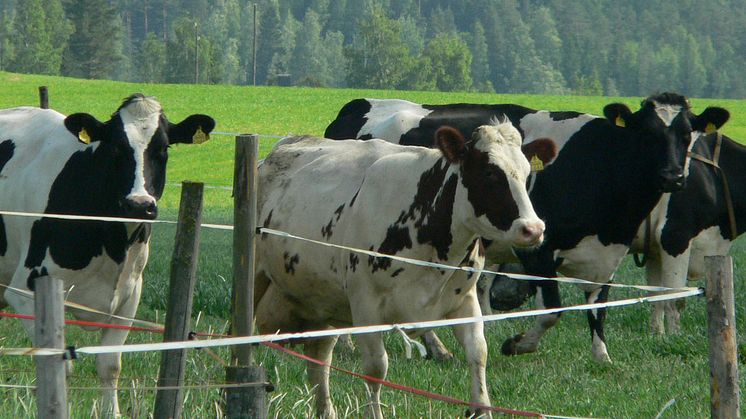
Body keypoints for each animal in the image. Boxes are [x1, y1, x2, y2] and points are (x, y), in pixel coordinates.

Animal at [0, 95, 215, 416]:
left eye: (163, 148)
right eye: (116, 148)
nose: (139, 205)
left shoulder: (129, 297)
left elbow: (110, 365)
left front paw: (111, 412)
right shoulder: (24, 291)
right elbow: (58, 365)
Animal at [254, 123, 552, 418]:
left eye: (527, 173)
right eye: (490, 173)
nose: (533, 229)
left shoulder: (464, 300)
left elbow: (478, 353)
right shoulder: (365, 305)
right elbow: (376, 369)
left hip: (322, 303)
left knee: (319, 361)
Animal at [326, 93, 728, 362]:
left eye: (688, 134)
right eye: (647, 133)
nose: (673, 176)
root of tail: (356, 104)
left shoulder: (609, 254)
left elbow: (598, 308)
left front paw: (602, 357)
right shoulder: (538, 249)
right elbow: (551, 311)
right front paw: (518, 344)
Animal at [628, 128, 740, 334]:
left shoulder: (654, 249)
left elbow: (656, 297)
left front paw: (658, 334)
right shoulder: (675, 237)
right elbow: (675, 298)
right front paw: (675, 336)